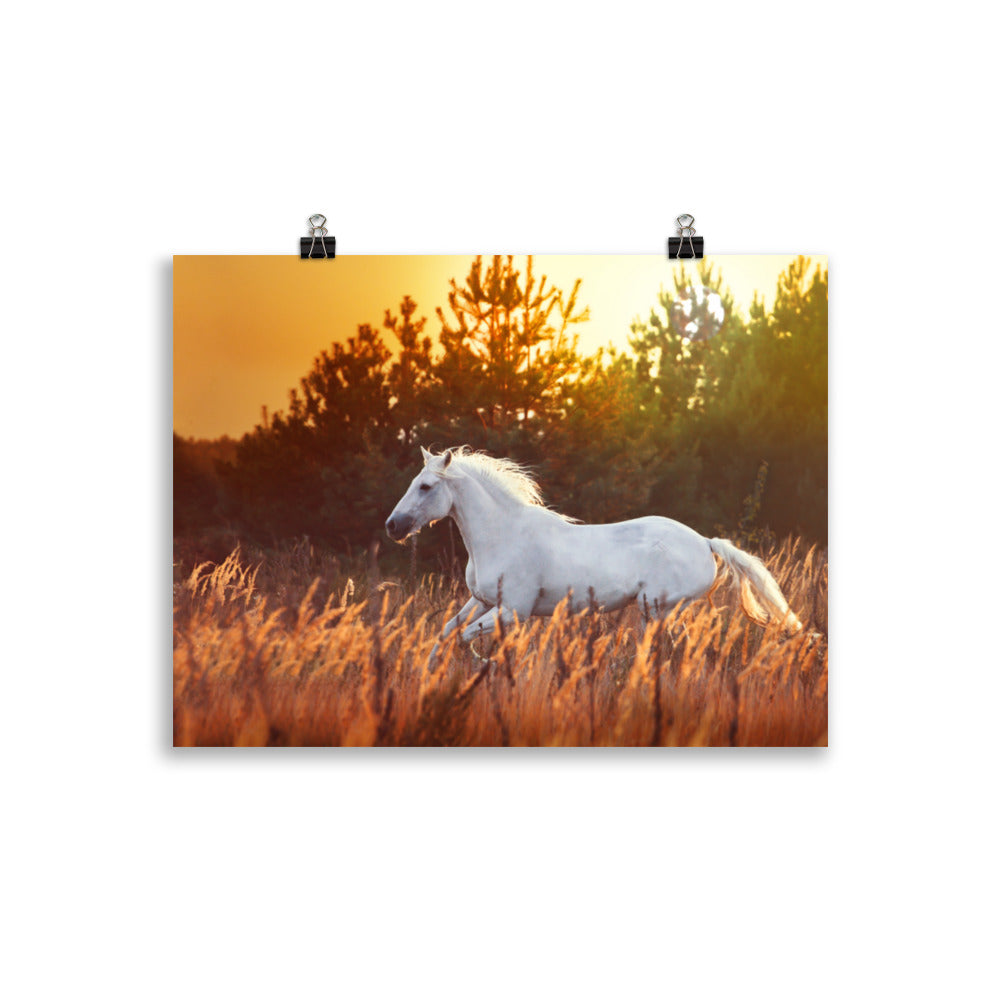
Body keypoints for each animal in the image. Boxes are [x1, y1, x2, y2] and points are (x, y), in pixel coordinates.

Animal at [385, 446, 801, 657]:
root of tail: (705, 542)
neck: (502, 535)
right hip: (655, 613)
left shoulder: (513, 610)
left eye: (425, 487)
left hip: (658, 608)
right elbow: (446, 633)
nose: (393, 526)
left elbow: (464, 637)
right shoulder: (482, 600)